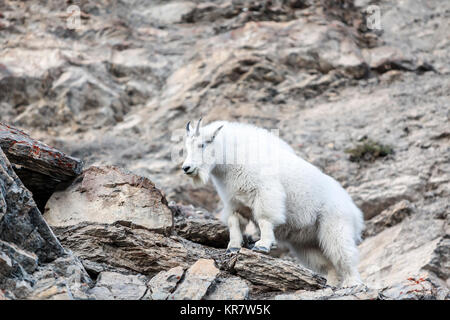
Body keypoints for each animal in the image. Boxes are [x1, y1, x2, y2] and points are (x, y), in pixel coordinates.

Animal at [181, 119, 364, 286]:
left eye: (203, 144)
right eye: (187, 147)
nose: (186, 168)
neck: (233, 159)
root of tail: (355, 212)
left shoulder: (265, 191)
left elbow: (264, 219)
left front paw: (262, 245)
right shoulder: (235, 203)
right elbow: (234, 221)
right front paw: (233, 247)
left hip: (335, 225)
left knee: (344, 255)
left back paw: (352, 283)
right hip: (307, 243)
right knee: (327, 265)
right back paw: (331, 284)